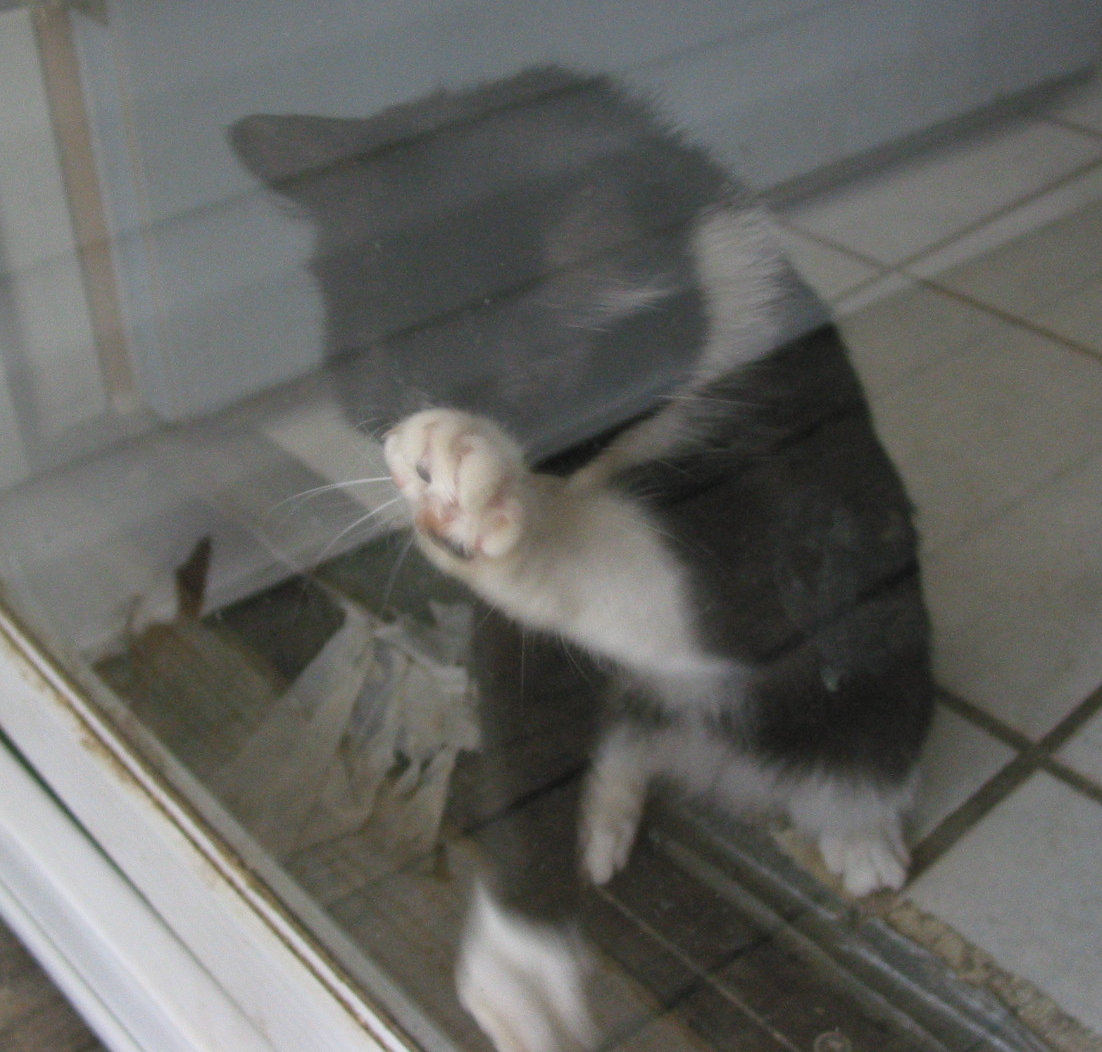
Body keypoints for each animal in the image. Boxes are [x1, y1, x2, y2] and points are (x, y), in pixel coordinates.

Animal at [232, 66, 933, 1052]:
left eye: (530, 387)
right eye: (383, 383)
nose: (421, 478)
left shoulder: (811, 478)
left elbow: (741, 603)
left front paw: (492, 499)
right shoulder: (515, 651)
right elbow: (522, 719)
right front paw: (520, 964)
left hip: (886, 658)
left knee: (868, 727)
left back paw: (861, 834)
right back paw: (604, 808)